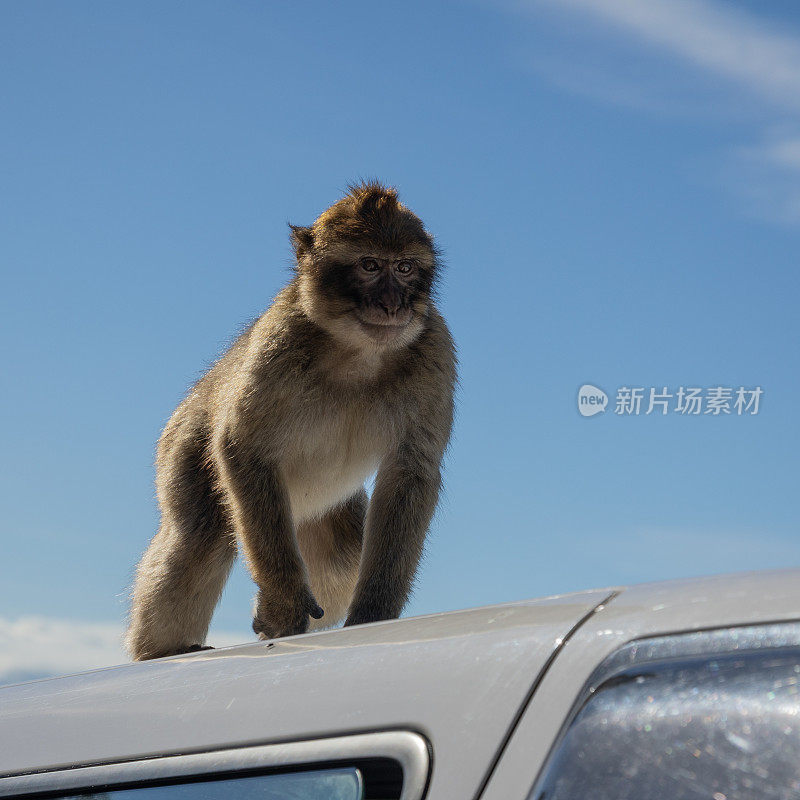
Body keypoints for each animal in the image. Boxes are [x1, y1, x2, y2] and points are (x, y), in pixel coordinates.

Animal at [123, 183, 456, 664]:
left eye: (405, 267)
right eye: (370, 265)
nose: (393, 305)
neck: (358, 352)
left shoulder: (435, 350)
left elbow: (410, 471)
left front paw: (373, 612)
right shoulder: (278, 342)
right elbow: (244, 448)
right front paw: (284, 604)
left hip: (321, 508)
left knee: (341, 560)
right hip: (183, 446)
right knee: (198, 538)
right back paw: (161, 650)